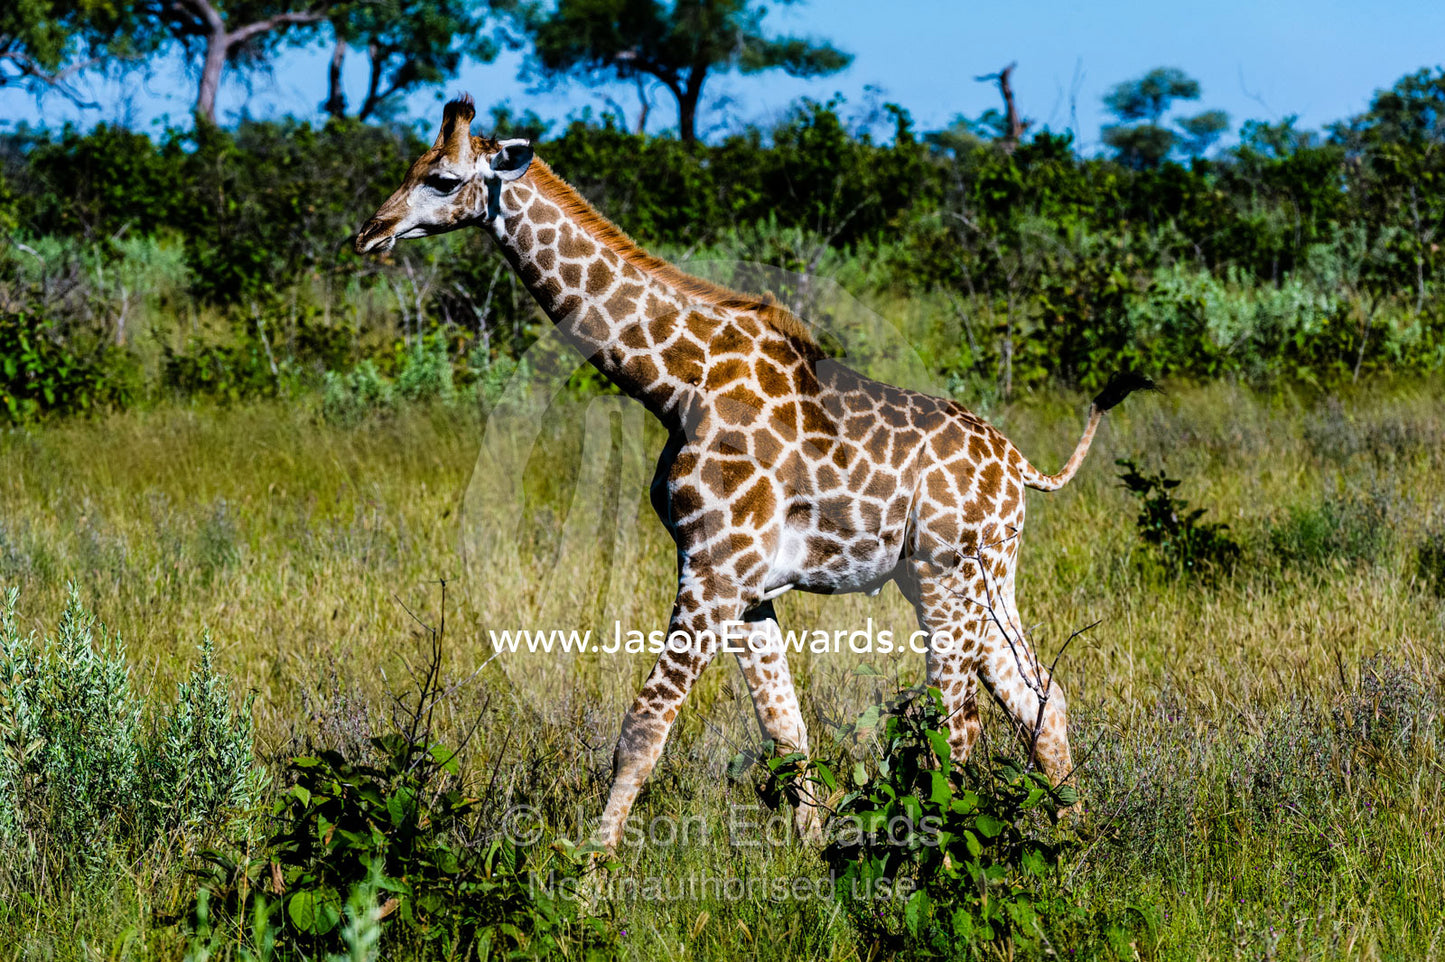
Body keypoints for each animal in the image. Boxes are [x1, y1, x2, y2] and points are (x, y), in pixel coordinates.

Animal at [355, 96, 1150, 851]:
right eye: (414, 165)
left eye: (442, 179)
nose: (368, 233)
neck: (675, 383)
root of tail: (1019, 466)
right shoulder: (746, 587)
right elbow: (785, 731)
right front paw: (814, 862)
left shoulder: (714, 569)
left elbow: (644, 727)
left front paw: (586, 877)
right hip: (981, 577)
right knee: (1039, 698)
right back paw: (1071, 846)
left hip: (945, 577)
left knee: (958, 724)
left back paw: (950, 862)